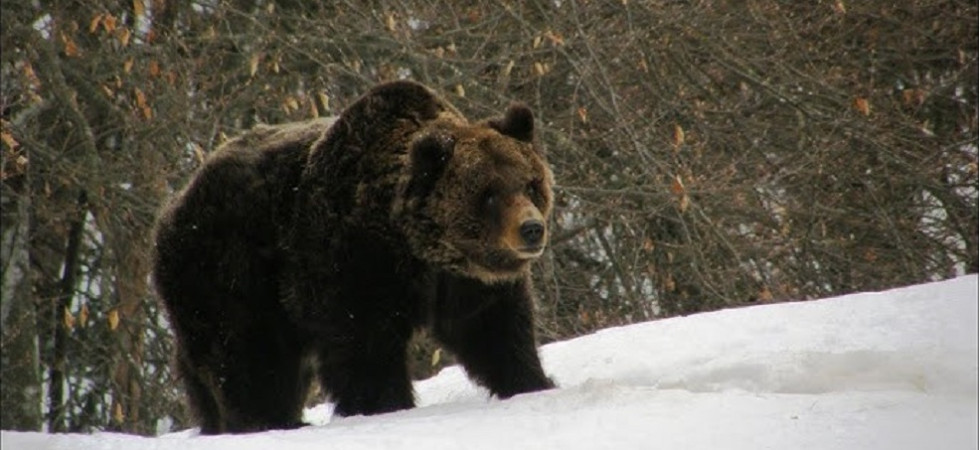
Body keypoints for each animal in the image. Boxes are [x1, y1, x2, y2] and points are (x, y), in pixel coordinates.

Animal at [151, 80, 556, 434]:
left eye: (530, 183)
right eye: (489, 194)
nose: (532, 228)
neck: (418, 247)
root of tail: (174, 204)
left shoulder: (466, 282)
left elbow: (496, 329)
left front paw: (531, 382)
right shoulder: (354, 263)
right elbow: (365, 349)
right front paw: (385, 404)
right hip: (227, 272)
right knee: (244, 351)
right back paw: (264, 420)